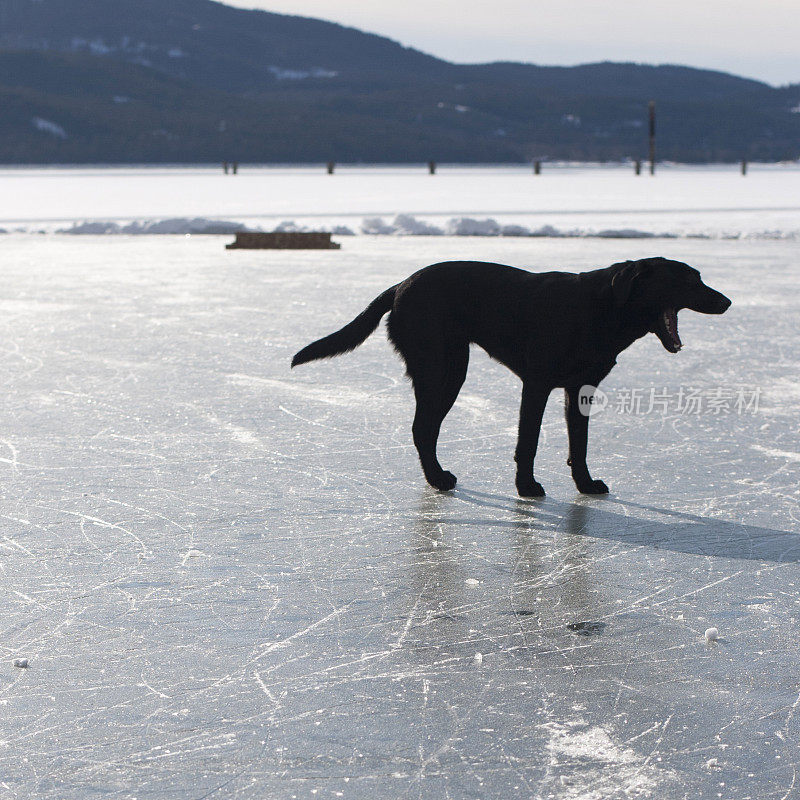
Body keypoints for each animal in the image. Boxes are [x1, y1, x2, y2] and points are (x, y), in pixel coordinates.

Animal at [294, 258, 732, 494]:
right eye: (688, 280)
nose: (727, 301)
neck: (603, 307)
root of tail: (400, 285)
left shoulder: (580, 389)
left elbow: (579, 445)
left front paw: (585, 485)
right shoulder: (536, 385)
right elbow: (528, 443)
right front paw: (527, 488)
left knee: (425, 429)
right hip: (444, 370)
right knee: (422, 428)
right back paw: (437, 478)